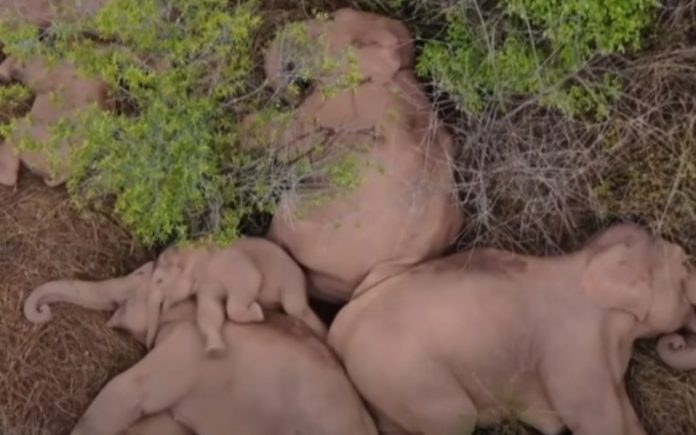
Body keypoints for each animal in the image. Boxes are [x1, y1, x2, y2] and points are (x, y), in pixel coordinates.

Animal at [147, 237, 327, 354]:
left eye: (159, 280)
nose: (149, 346)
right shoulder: (206, 287)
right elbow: (209, 311)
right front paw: (214, 349)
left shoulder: (227, 264)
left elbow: (250, 277)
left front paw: (258, 312)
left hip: (291, 278)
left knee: (294, 308)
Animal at [327, 223, 696, 435]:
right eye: (685, 263)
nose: (676, 341)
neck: (586, 260)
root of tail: (338, 333)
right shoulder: (573, 351)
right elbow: (597, 423)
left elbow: (625, 417)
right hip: (410, 381)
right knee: (456, 418)